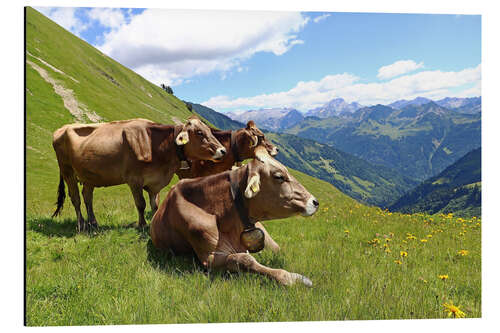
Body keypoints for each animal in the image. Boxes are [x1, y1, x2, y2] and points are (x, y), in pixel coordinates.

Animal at [51, 115, 227, 230]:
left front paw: (155, 221)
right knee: (76, 199)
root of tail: (62, 129)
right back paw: (81, 225)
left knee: (87, 198)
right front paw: (142, 225)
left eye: (208, 130)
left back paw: (93, 223)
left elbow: (155, 205)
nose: (223, 150)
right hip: (67, 171)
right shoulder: (134, 180)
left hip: (89, 176)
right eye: (199, 133)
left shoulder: (155, 182)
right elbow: (141, 204)